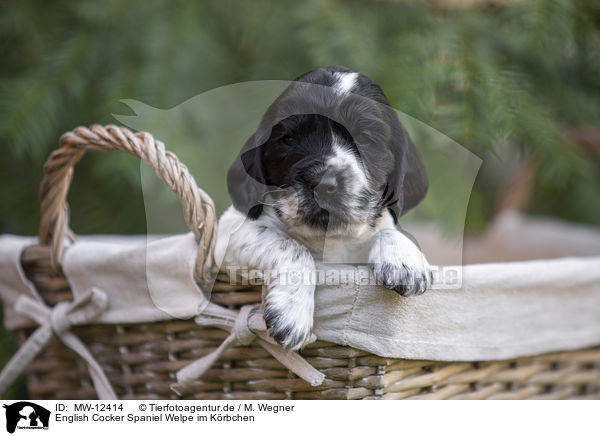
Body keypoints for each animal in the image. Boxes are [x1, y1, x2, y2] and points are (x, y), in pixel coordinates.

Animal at [216, 65, 432, 350]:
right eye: (289, 139)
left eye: (365, 138)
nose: (323, 184)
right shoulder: (229, 233)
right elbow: (292, 246)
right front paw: (291, 313)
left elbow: (389, 229)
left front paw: (405, 261)